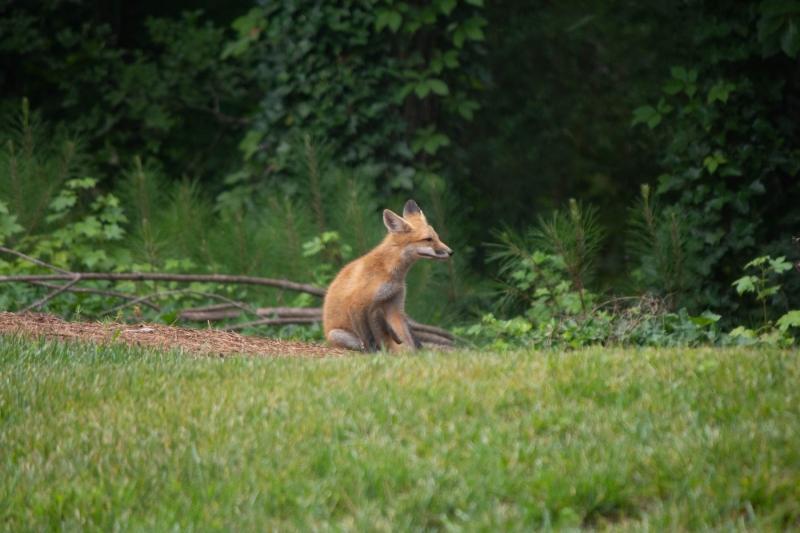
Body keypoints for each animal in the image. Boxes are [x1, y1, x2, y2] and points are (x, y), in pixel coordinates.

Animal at [323, 199, 453, 352]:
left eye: (437, 237)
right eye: (428, 239)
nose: (451, 252)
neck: (390, 272)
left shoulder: (393, 306)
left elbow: (410, 338)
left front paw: (419, 354)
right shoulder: (358, 304)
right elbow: (369, 339)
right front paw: (372, 354)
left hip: (379, 314)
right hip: (337, 334)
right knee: (367, 344)